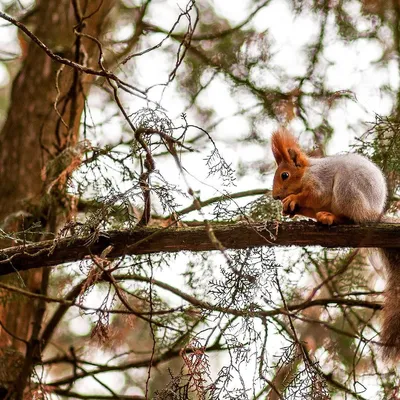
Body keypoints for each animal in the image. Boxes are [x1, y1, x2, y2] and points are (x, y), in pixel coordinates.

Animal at [270, 127, 400, 360]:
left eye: (284, 175)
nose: (276, 196)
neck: (307, 172)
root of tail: (372, 213)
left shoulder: (319, 182)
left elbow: (314, 194)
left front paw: (293, 199)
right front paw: (289, 208)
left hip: (347, 190)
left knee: (351, 218)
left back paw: (331, 217)